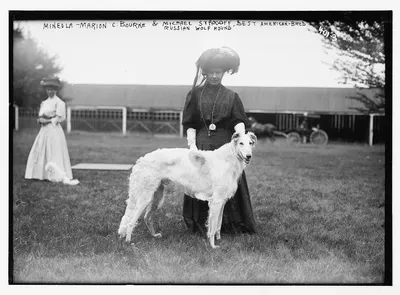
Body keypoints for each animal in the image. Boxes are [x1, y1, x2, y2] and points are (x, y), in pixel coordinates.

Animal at [117, 132, 258, 250]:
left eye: (251, 143)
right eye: (241, 143)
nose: (249, 156)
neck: (228, 159)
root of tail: (141, 160)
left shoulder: (222, 201)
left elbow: (218, 224)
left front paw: (219, 239)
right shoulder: (216, 201)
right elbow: (212, 227)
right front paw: (213, 246)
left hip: (157, 197)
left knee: (147, 217)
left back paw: (154, 235)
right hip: (144, 197)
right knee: (131, 221)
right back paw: (129, 242)